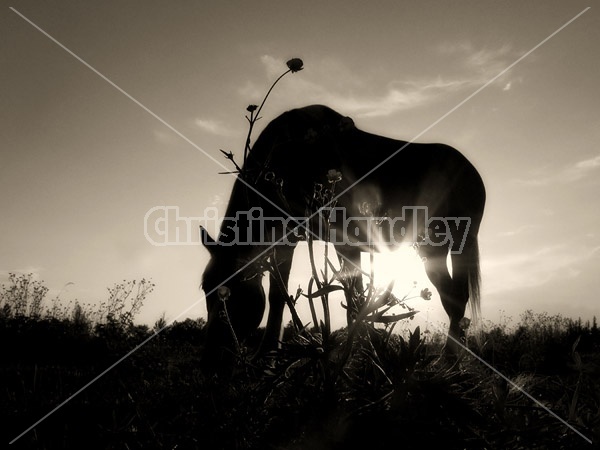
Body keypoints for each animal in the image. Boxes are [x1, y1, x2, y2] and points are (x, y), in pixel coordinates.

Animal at [199, 105, 486, 366]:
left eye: (232, 289)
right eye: (205, 287)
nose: (211, 356)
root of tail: (473, 174)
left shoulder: (338, 242)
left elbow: (351, 300)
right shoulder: (289, 242)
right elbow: (284, 296)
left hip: (449, 243)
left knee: (455, 299)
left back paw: (450, 362)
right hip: (435, 249)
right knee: (454, 297)